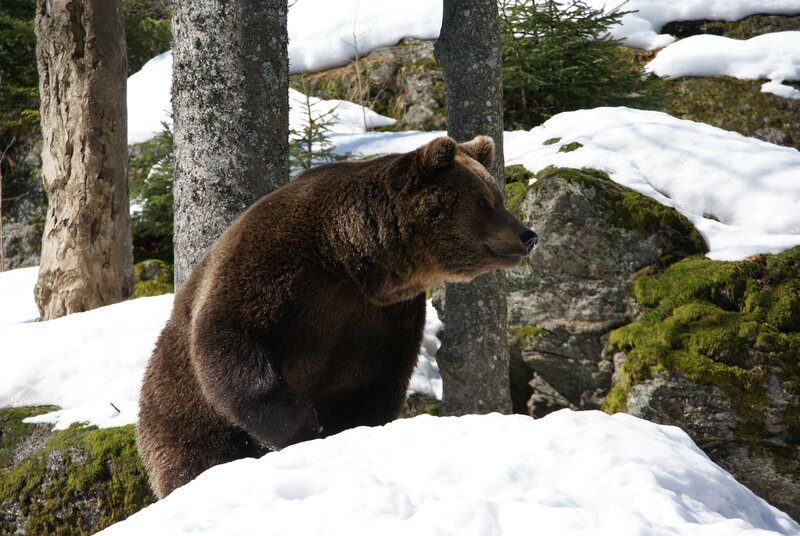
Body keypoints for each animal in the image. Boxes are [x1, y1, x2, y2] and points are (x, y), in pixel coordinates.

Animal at [136, 135, 538, 498]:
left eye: (497, 197)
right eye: (484, 201)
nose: (528, 235)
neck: (349, 259)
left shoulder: (380, 318)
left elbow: (372, 384)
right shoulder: (273, 266)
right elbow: (229, 338)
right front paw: (302, 423)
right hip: (179, 410)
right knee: (194, 454)